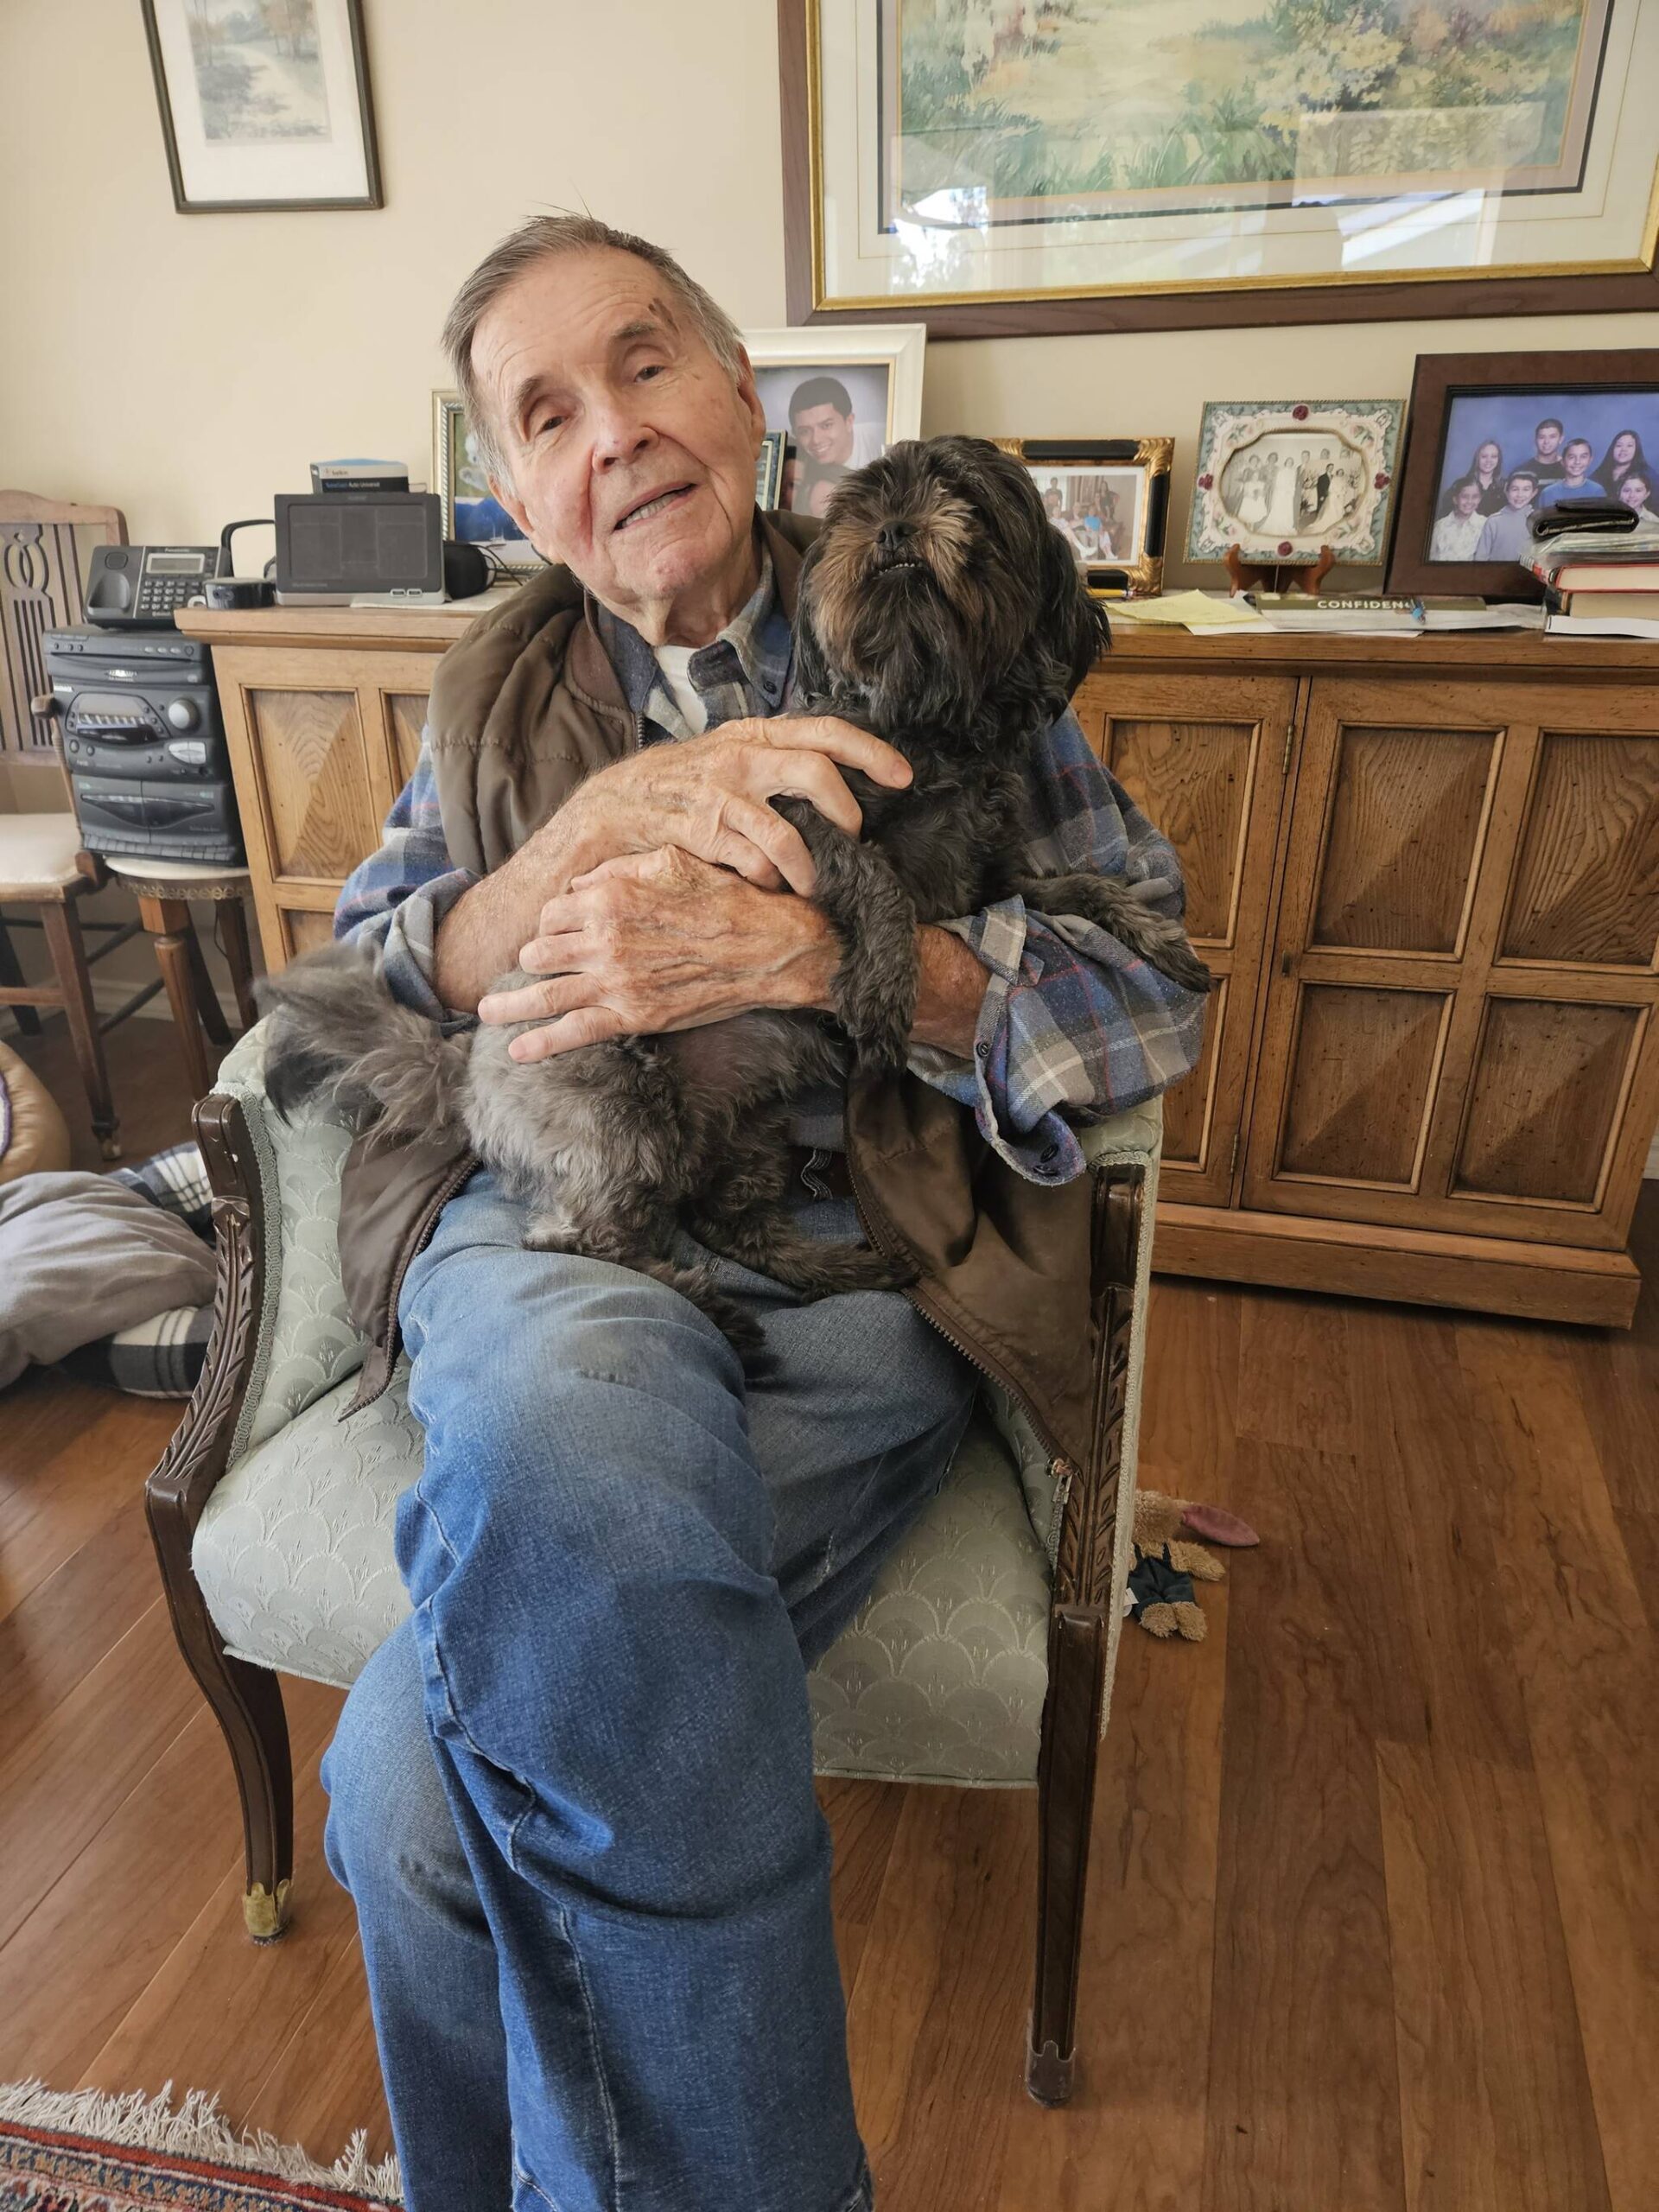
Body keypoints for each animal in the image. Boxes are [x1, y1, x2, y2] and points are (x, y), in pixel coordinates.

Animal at [263, 437, 1221, 1353]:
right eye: (863, 503)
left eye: (972, 504)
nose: (896, 530)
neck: (928, 724)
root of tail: (463, 1070)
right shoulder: (792, 811)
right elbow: (877, 878)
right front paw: (886, 986)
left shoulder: (989, 880)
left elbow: (1088, 883)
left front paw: (1163, 942)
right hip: (616, 1110)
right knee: (578, 1239)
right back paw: (713, 1310)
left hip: (747, 1122)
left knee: (726, 1223)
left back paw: (834, 1267)